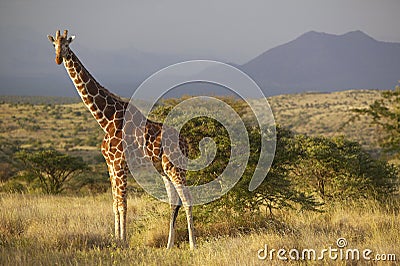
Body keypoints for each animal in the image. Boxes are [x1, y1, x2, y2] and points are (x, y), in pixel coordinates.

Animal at [47, 29, 195, 249]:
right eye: (54, 45)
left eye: (66, 45)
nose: (58, 58)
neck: (106, 119)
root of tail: (186, 142)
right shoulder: (109, 164)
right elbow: (115, 204)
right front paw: (115, 239)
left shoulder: (119, 163)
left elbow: (123, 204)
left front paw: (123, 241)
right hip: (162, 169)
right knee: (173, 201)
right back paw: (169, 246)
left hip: (175, 167)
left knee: (187, 199)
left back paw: (193, 245)